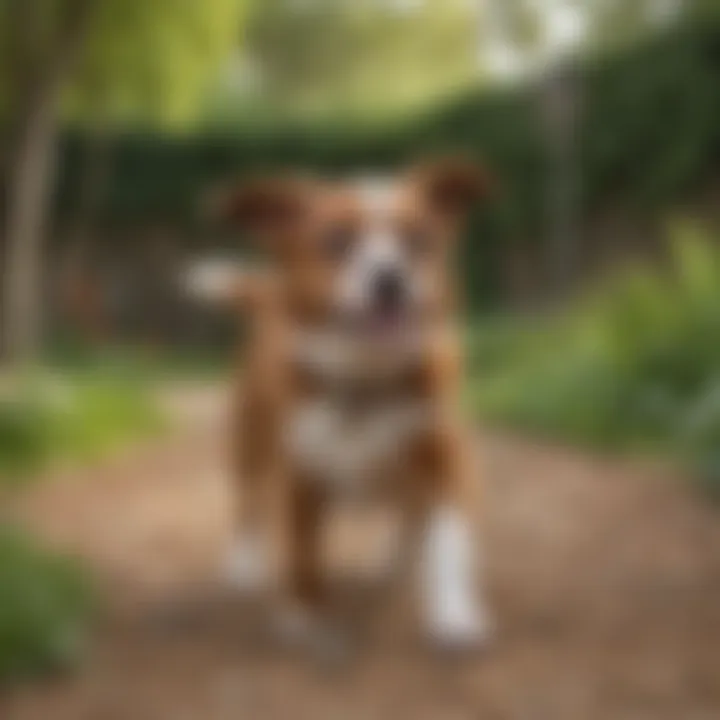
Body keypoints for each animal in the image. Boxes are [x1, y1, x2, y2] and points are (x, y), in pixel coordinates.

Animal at [190, 158, 496, 652]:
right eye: (336, 240)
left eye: (418, 239)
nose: (391, 277)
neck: (364, 380)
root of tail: (270, 298)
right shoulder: (301, 474)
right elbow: (303, 549)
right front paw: (304, 613)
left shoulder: (444, 459)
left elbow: (449, 543)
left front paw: (453, 615)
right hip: (248, 440)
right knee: (249, 501)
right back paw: (245, 563)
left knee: (410, 517)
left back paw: (396, 561)